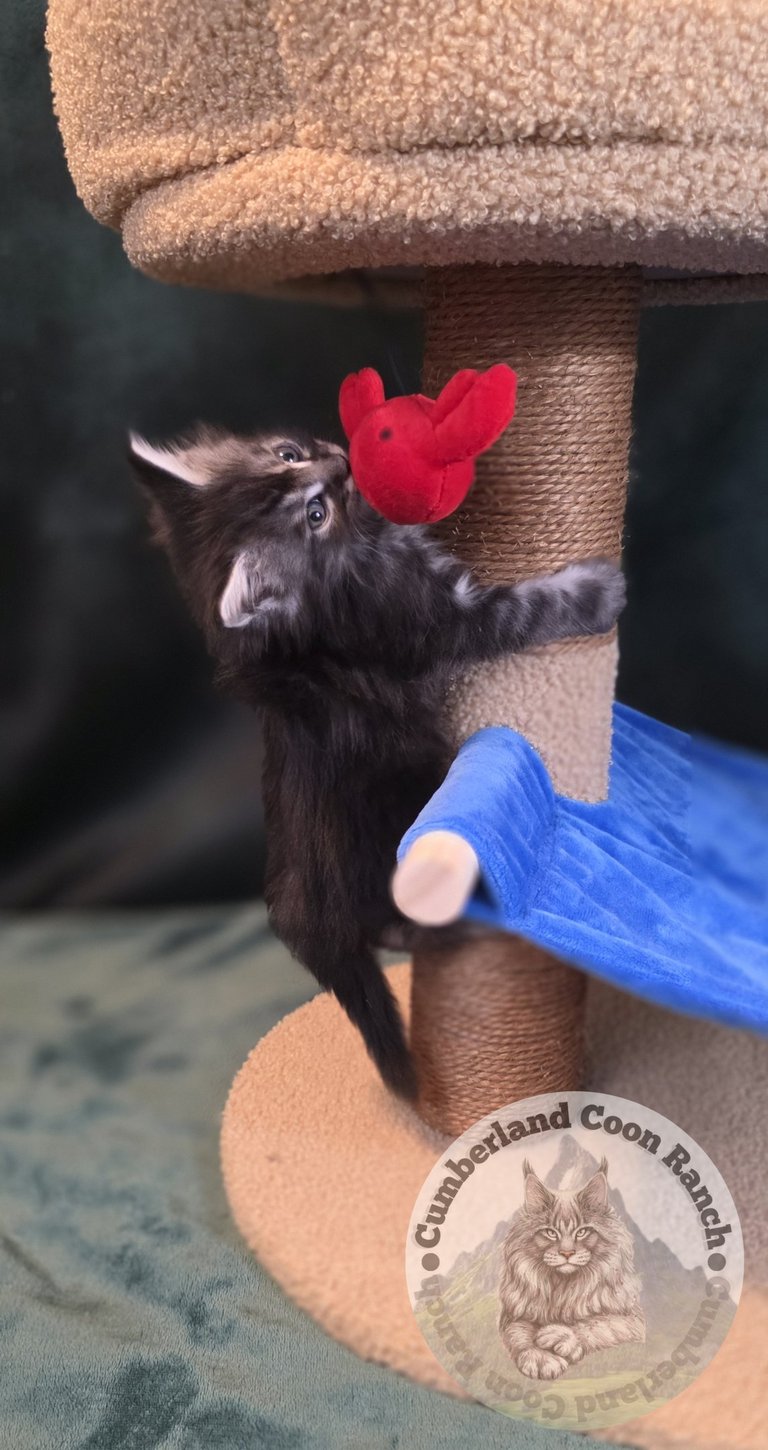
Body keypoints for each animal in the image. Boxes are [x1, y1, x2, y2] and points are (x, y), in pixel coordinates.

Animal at [129, 424, 625, 1098]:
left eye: (289, 455)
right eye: (315, 514)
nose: (339, 462)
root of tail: (301, 917)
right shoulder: (440, 623)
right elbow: (525, 611)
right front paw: (599, 590)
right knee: (404, 922)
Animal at [498, 1157, 645, 1380]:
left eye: (582, 1232)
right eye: (551, 1233)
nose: (567, 1253)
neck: (563, 1287)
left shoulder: (634, 1320)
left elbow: (601, 1324)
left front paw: (565, 1336)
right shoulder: (513, 1316)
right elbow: (518, 1335)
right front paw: (539, 1357)